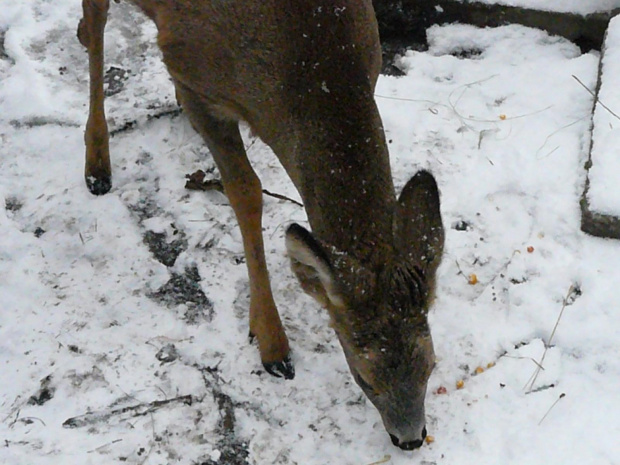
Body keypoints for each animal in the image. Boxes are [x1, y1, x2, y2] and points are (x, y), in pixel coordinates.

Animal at [77, 0, 446, 450]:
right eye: (364, 376)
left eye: (430, 364)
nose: (410, 438)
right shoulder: (195, 78)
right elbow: (246, 192)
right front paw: (272, 344)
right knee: (94, 25)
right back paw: (97, 165)